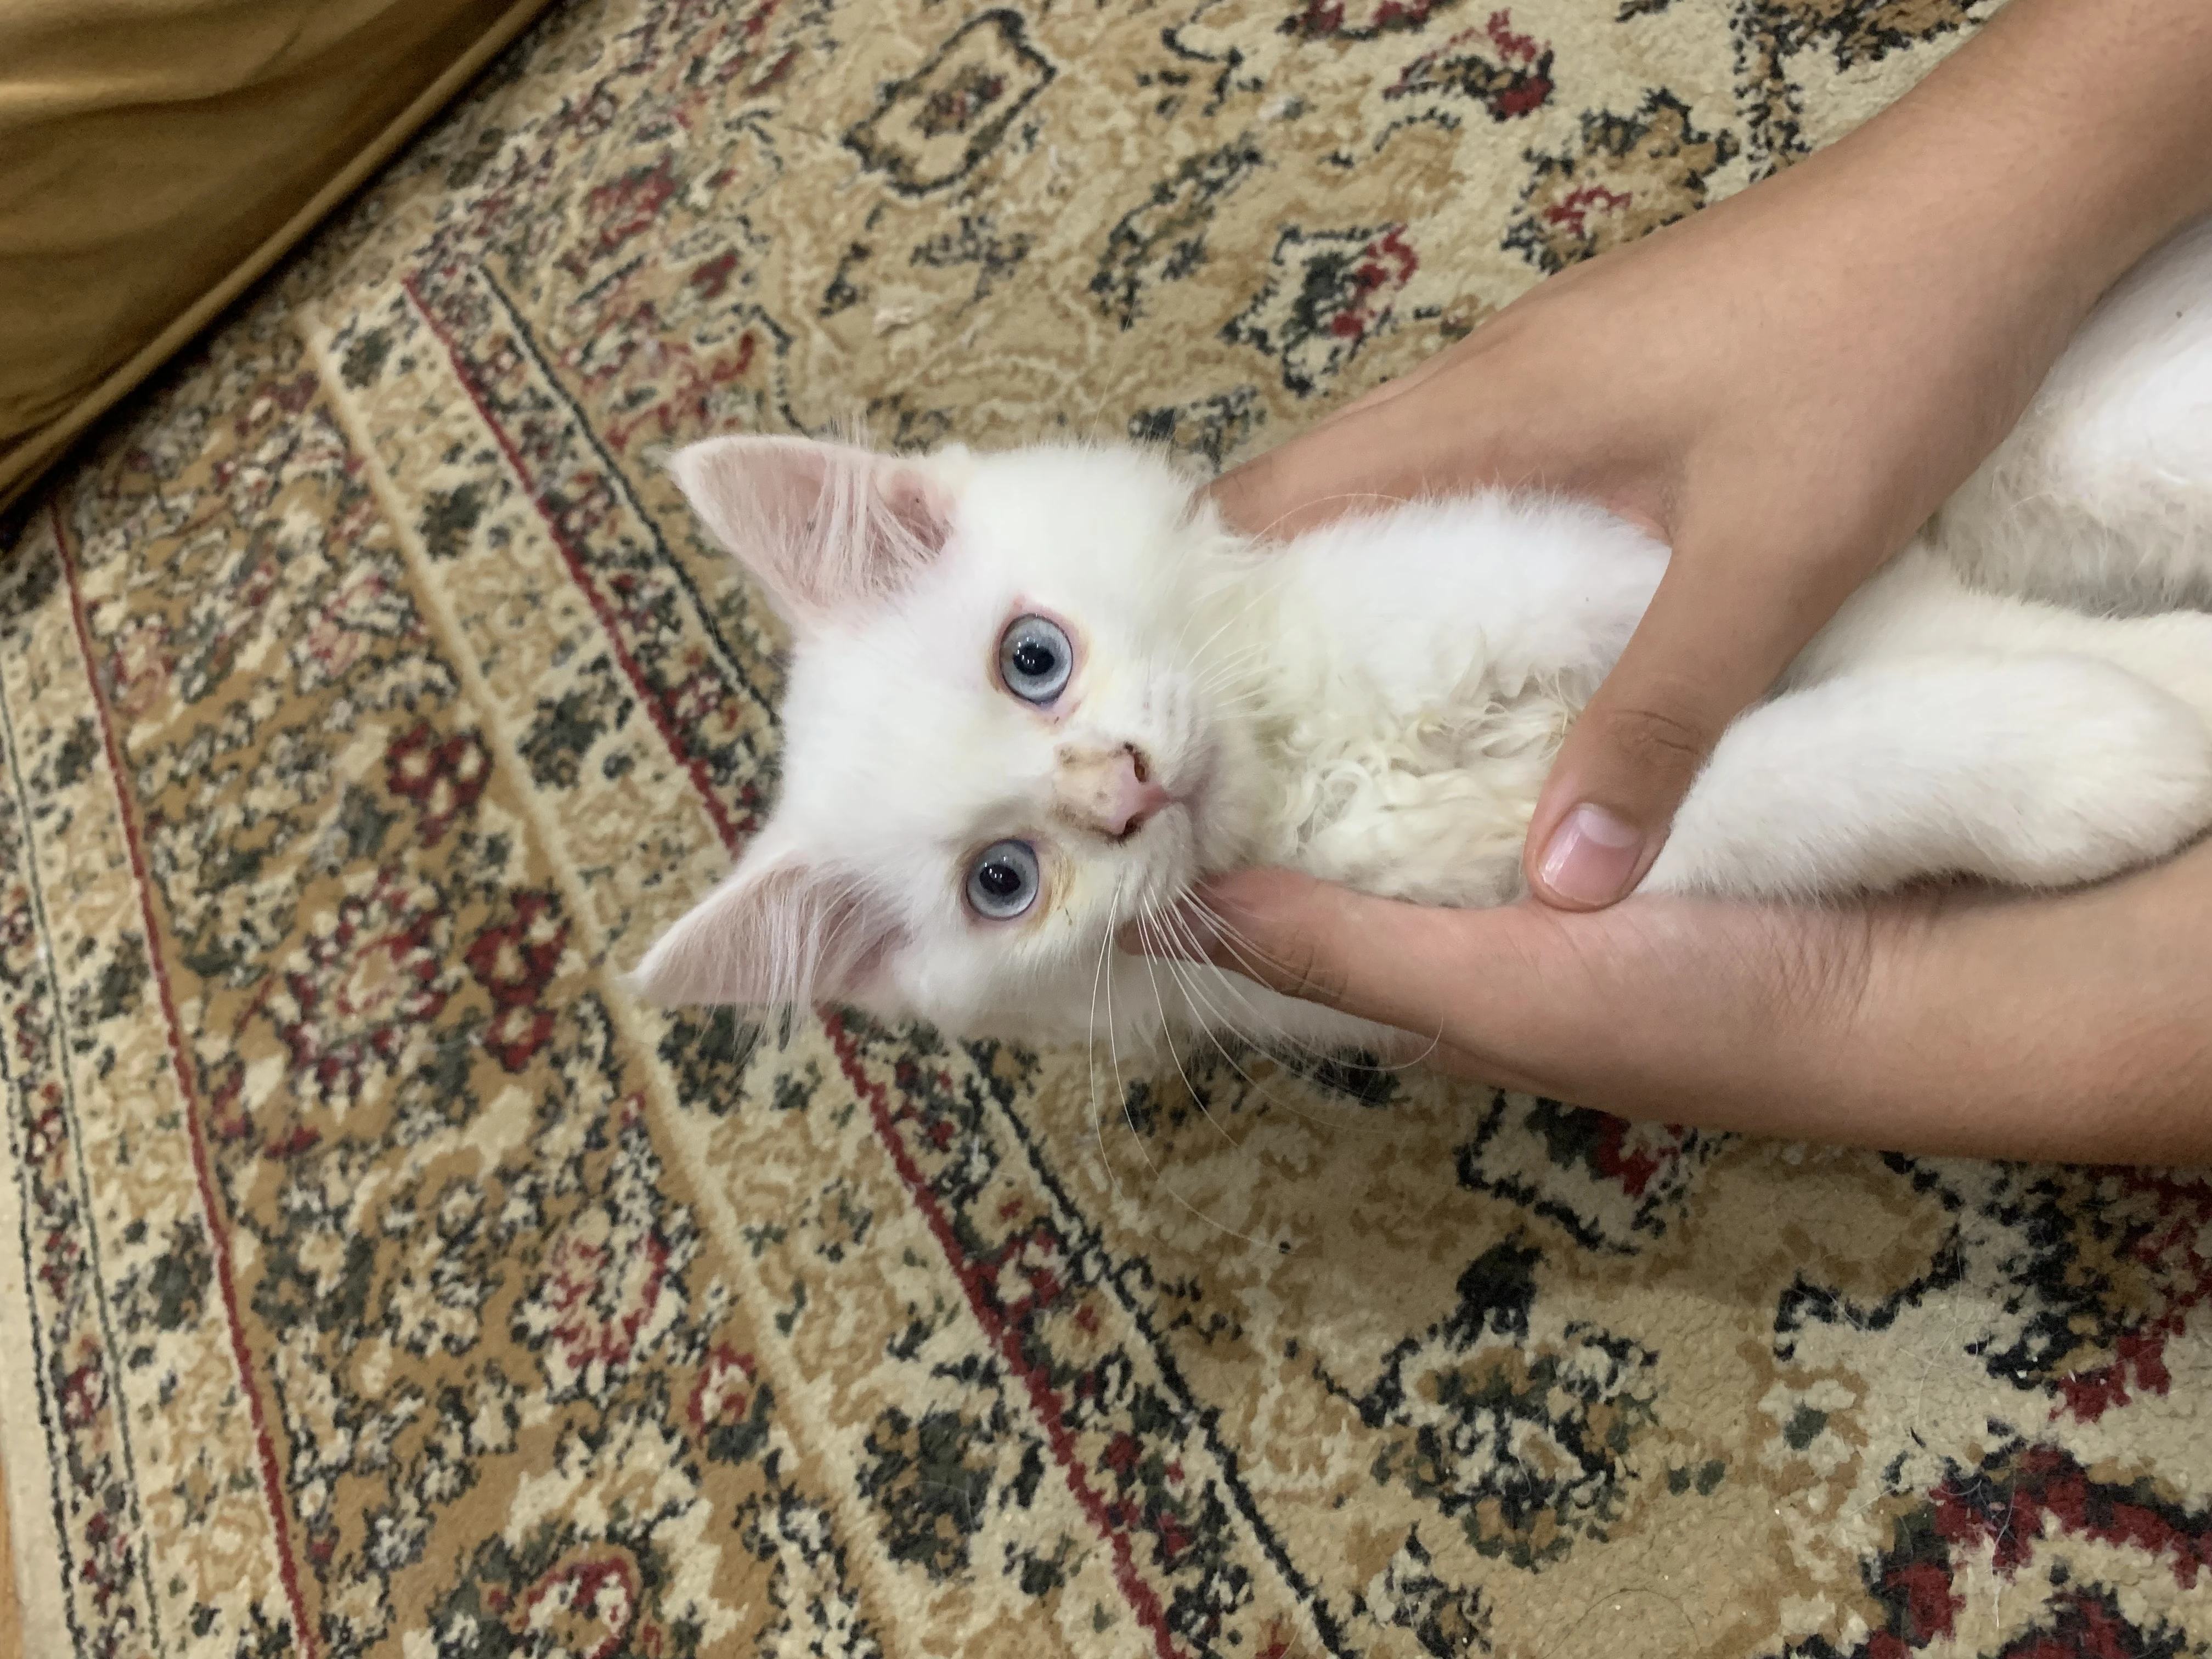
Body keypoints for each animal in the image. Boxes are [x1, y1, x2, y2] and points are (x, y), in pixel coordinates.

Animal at [628, 218, 2212, 1053]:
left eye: (1034, 658)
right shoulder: (1551, 857)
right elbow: (1807, 778)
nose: (1123, 788)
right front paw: (2105, 751)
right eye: (1003, 883)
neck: (1309, 745)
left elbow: (1917, 615)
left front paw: (2161, 676)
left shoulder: (1685, 555)